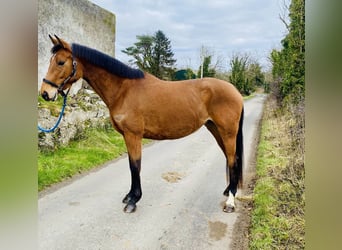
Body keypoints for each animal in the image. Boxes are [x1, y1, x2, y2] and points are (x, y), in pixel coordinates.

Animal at [39, 34, 243, 213]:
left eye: (60, 62)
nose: (45, 93)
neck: (124, 90)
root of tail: (235, 91)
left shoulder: (133, 135)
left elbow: (135, 166)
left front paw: (133, 201)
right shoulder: (127, 136)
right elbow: (131, 165)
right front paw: (130, 196)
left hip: (228, 132)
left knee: (233, 160)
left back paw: (230, 202)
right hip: (216, 130)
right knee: (230, 158)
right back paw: (228, 191)